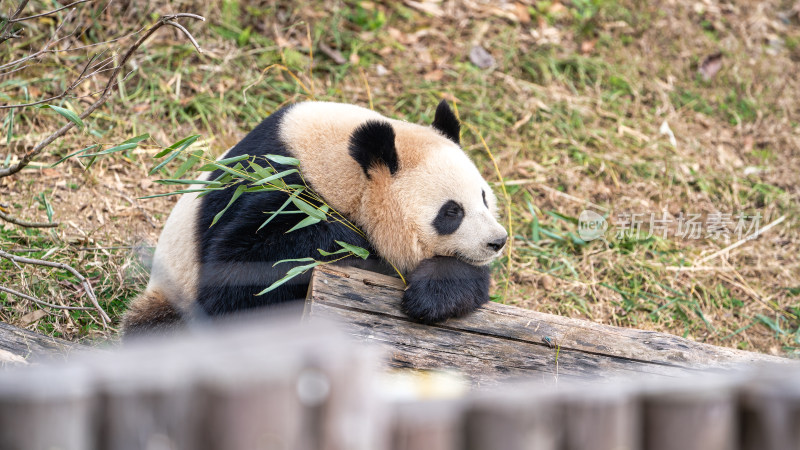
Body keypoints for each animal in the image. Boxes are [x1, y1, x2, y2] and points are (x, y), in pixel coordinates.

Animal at [122, 100, 510, 336]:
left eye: (483, 198)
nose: (497, 241)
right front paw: (350, 244)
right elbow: (237, 278)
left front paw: (429, 296)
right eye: (451, 212)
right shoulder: (272, 181)